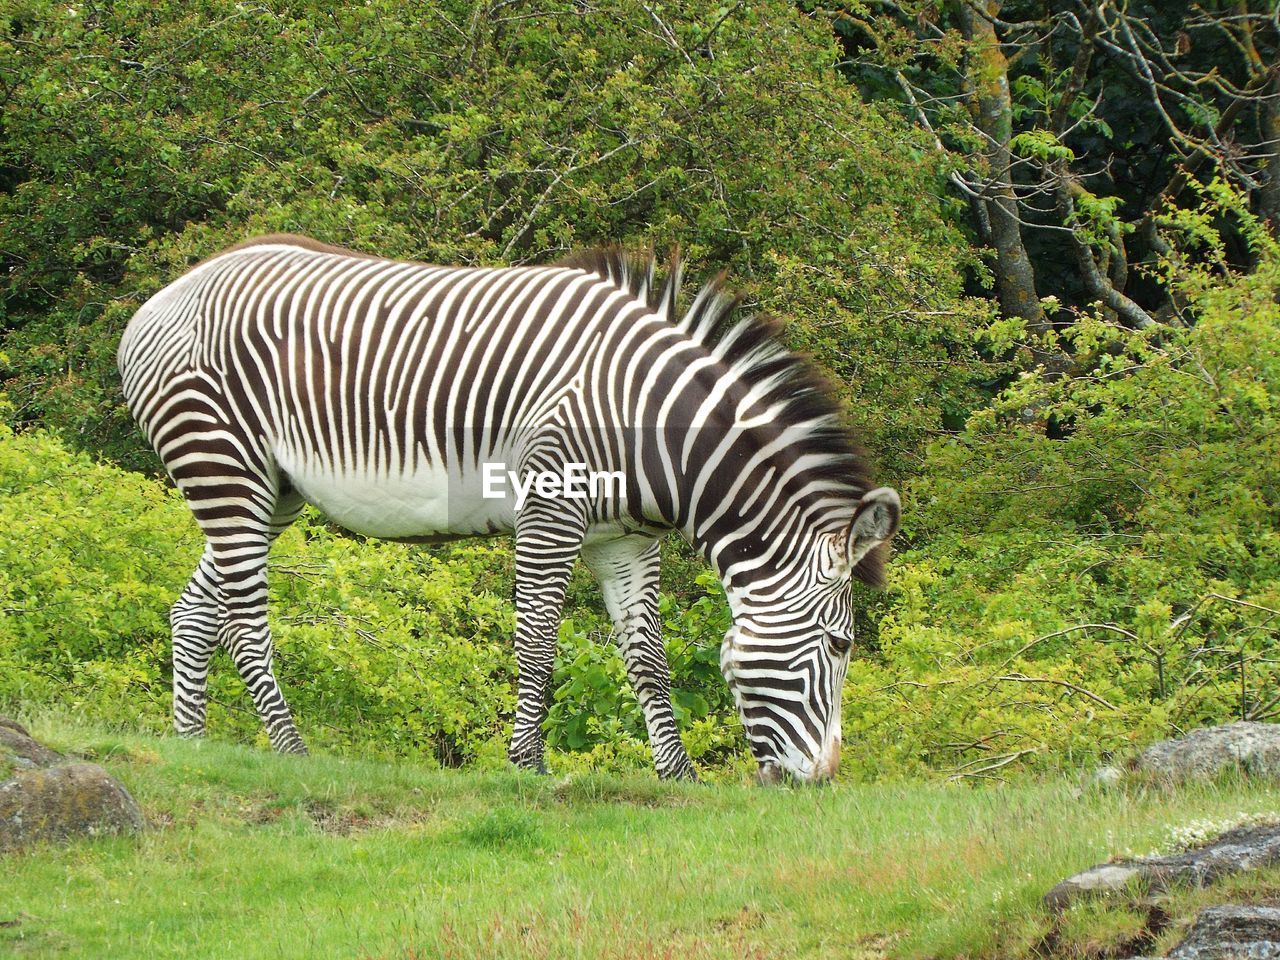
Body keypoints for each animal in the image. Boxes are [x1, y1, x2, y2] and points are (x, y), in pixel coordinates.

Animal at [120, 236, 901, 783]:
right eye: (841, 646)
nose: (821, 782)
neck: (653, 428)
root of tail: (165, 297)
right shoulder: (550, 506)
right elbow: (538, 641)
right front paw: (527, 765)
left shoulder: (624, 539)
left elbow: (646, 659)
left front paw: (677, 776)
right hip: (223, 465)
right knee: (245, 622)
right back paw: (291, 748)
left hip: (268, 489)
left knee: (195, 611)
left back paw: (190, 746)